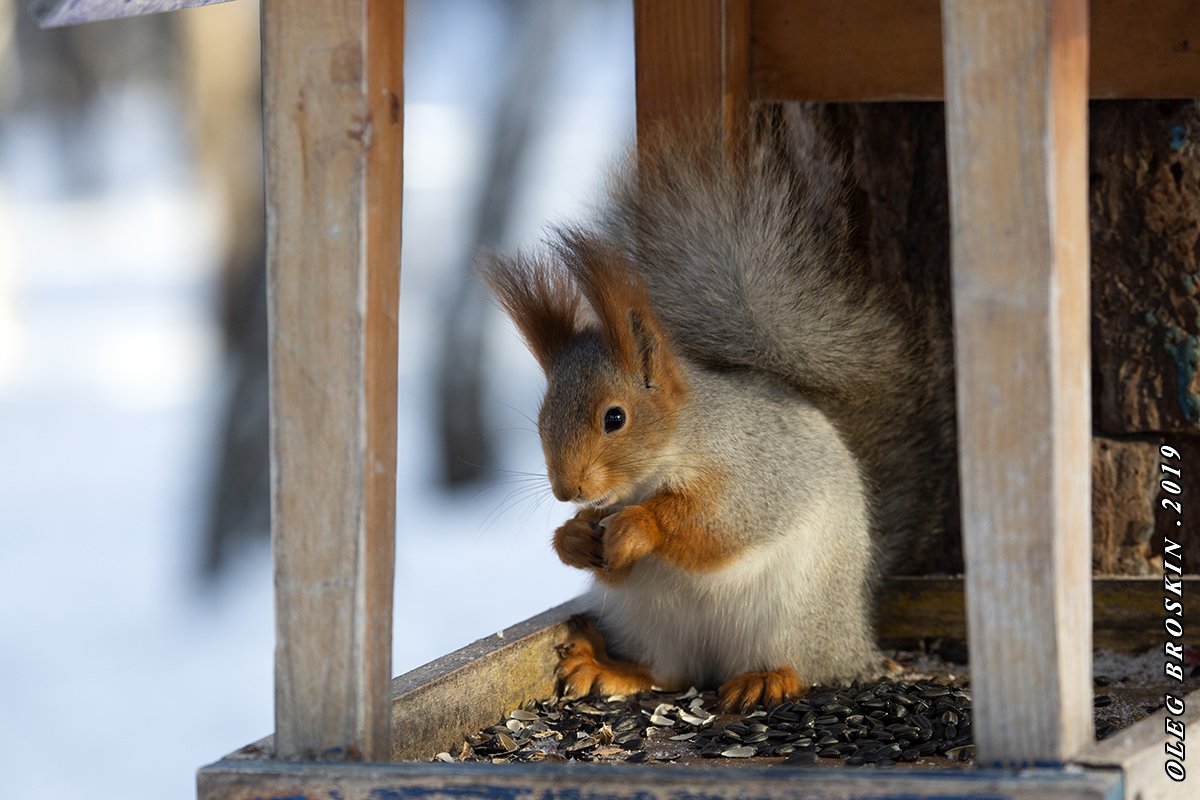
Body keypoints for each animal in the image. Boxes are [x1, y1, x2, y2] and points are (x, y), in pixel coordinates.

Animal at [480, 107, 955, 714]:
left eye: (615, 417)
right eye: (541, 419)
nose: (569, 492)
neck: (675, 448)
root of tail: (856, 636)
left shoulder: (752, 472)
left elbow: (718, 524)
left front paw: (640, 524)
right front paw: (573, 537)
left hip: (793, 616)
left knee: (797, 664)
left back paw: (768, 679)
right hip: (647, 619)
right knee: (667, 672)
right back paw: (605, 667)